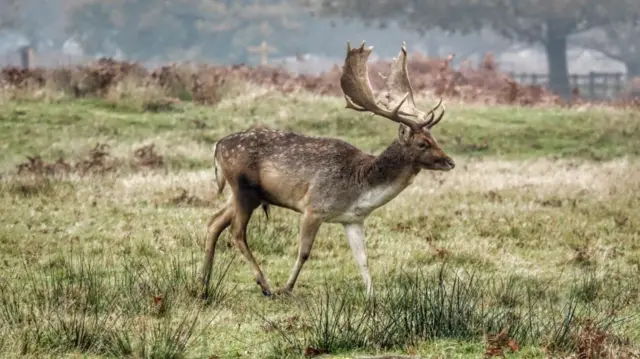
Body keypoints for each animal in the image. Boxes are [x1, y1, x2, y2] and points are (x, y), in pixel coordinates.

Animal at [201, 40, 456, 300]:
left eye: (434, 138)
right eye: (422, 144)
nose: (449, 162)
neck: (360, 188)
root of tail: (217, 146)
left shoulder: (353, 220)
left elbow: (363, 260)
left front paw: (372, 297)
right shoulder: (313, 207)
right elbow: (304, 252)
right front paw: (287, 288)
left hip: (242, 194)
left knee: (214, 222)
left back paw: (203, 285)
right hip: (243, 188)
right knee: (236, 231)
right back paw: (265, 285)